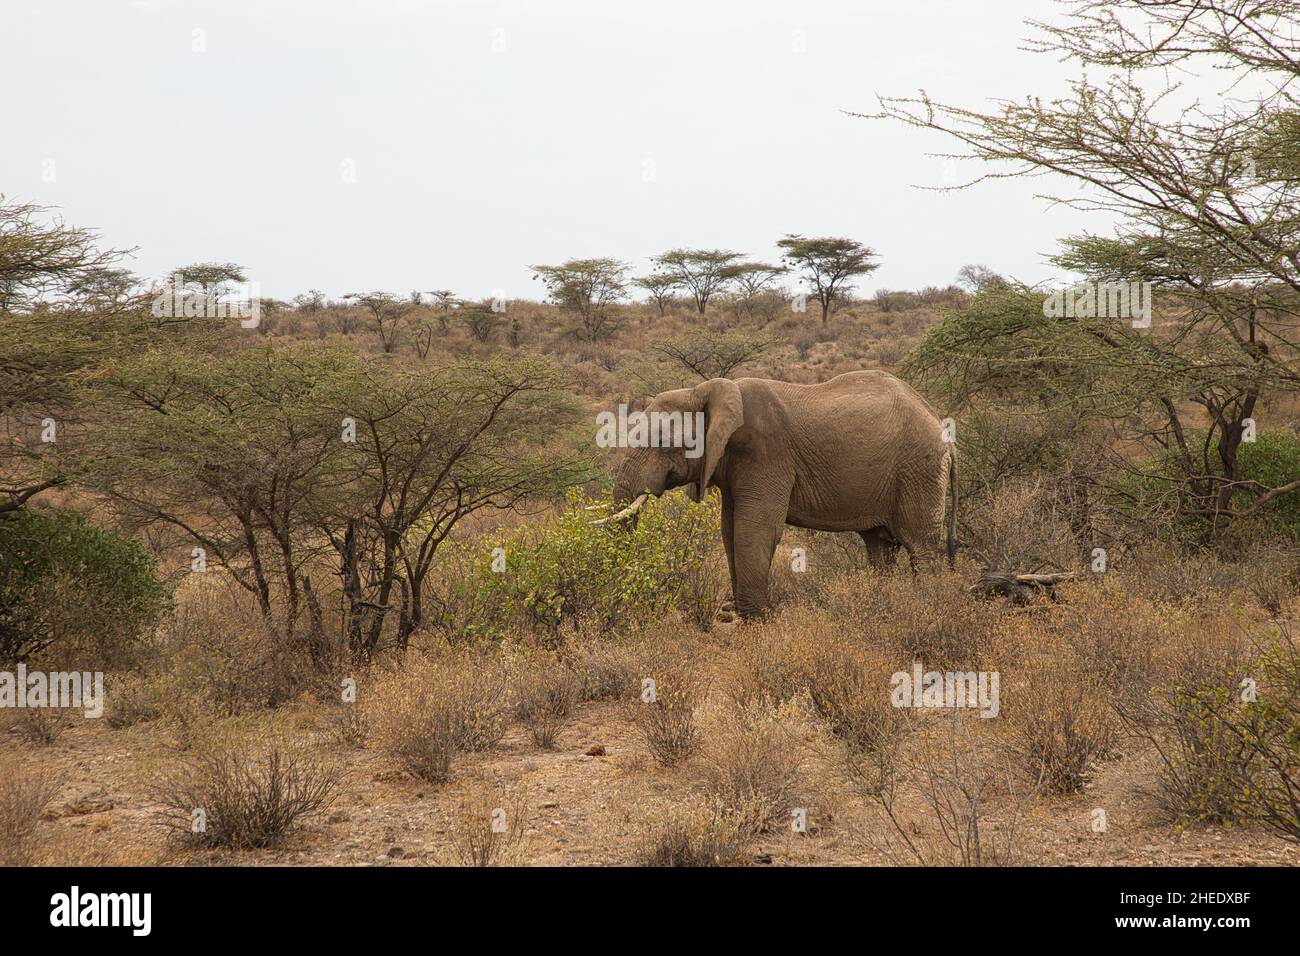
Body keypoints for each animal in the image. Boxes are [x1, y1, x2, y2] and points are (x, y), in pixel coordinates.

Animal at [605, 369, 956, 624]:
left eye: (662, 441)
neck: (704, 391)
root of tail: (940, 423)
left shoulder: (765, 453)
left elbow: (754, 530)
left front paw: (755, 623)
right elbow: (729, 530)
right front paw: (746, 617)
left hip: (919, 468)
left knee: (920, 547)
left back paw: (927, 609)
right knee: (879, 547)